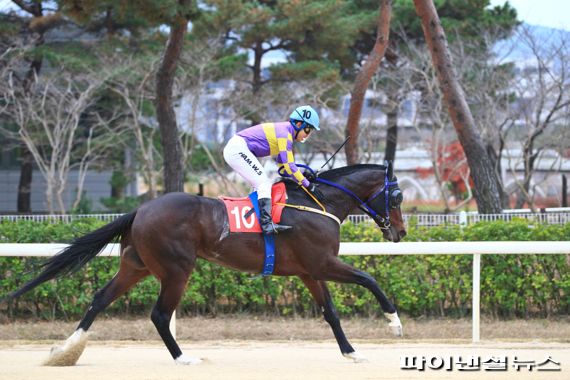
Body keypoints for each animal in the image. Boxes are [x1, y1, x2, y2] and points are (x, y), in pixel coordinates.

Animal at [4, 162, 404, 366]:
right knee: (160, 314)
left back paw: (65, 351)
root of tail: (141, 210)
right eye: (397, 195)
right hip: (177, 269)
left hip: (137, 265)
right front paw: (394, 323)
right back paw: (183, 359)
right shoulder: (322, 263)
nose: (399, 232)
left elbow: (330, 312)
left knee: (100, 298)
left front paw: (352, 352)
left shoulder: (309, 271)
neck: (317, 203)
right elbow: (369, 279)